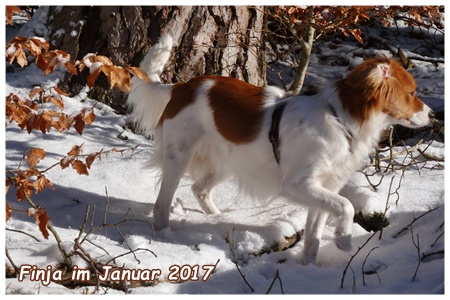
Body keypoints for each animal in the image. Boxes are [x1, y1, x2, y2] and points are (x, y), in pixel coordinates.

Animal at [126, 35, 432, 264]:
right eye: (412, 92)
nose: (432, 115)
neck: (339, 118)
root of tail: (182, 87)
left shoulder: (324, 188)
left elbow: (314, 235)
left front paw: (307, 268)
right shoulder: (299, 184)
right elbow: (346, 205)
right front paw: (344, 239)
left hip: (231, 162)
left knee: (199, 188)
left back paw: (219, 218)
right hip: (179, 157)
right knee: (161, 205)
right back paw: (166, 237)